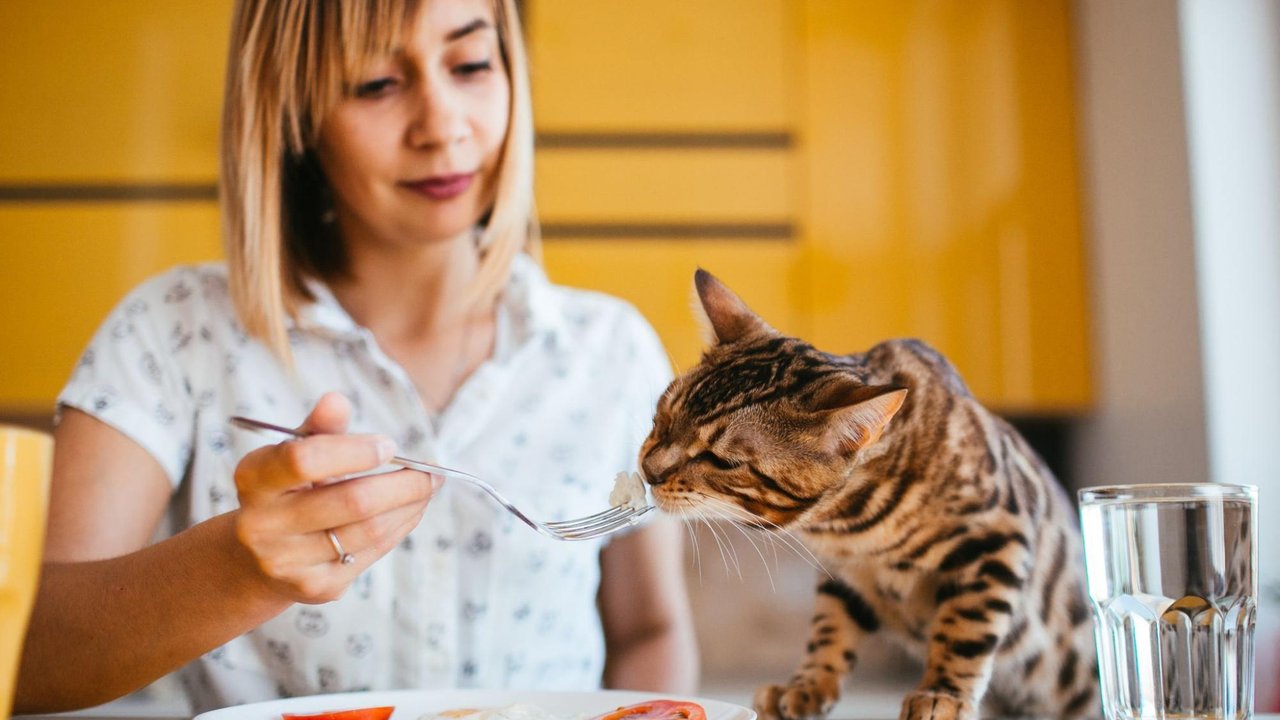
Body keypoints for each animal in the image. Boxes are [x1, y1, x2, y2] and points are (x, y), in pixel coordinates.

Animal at [640, 269, 1100, 717]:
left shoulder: (998, 536)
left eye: (721, 460)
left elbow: (966, 626)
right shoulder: (842, 572)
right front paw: (806, 685)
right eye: (662, 417)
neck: (849, 526)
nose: (648, 471)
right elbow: (829, 628)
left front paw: (942, 692)